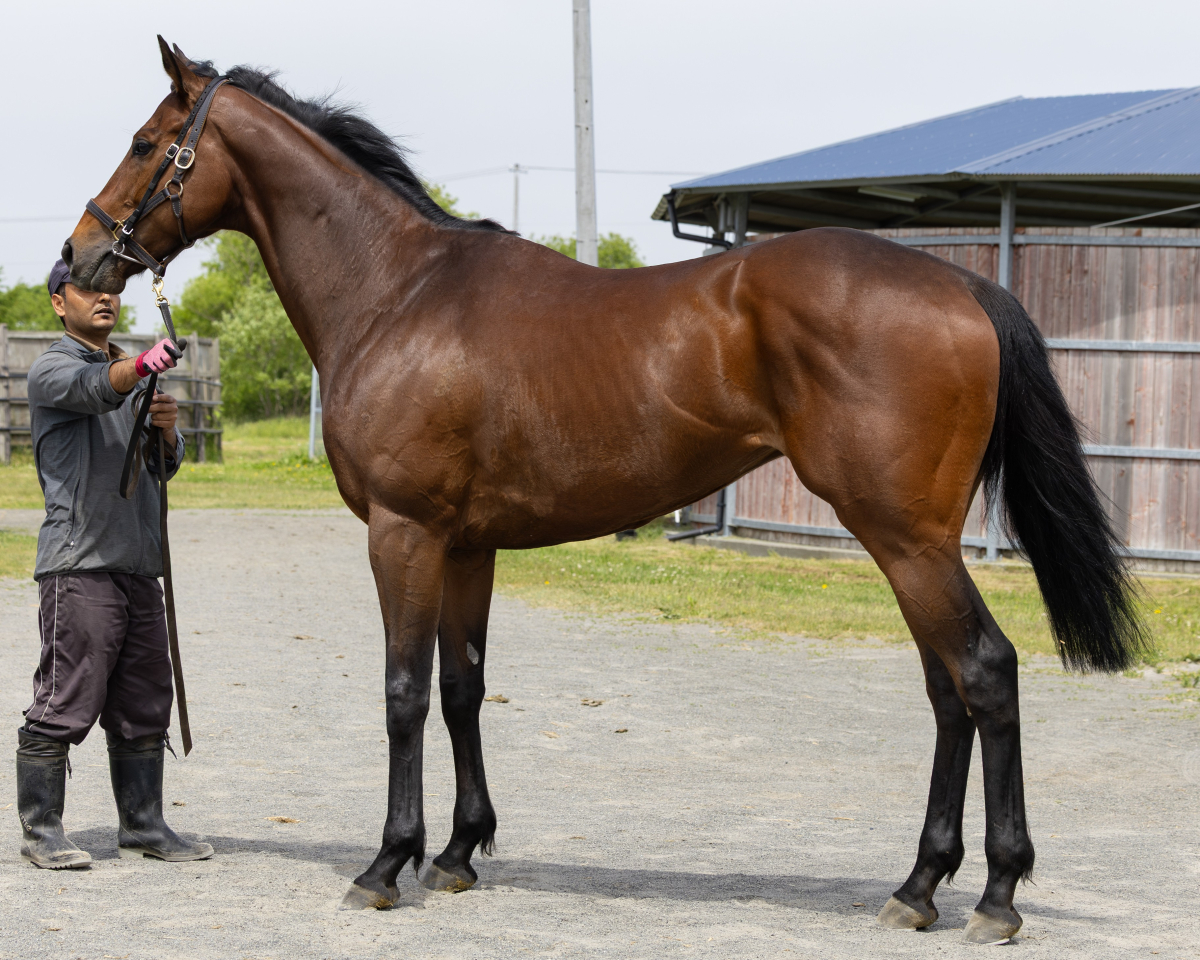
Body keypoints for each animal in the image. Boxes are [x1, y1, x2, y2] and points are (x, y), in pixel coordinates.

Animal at [63, 39, 1145, 944]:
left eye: (148, 144)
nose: (75, 262)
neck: (399, 293)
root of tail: (963, 287)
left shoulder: (403, 534)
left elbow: (403, 693)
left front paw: (385, 863)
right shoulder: (467, 544)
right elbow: (462, 688)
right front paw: (458, 852)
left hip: (906, 537)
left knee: (985, 673)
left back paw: (995, 896)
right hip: (910, 543)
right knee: (946, 691)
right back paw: (920, 886)